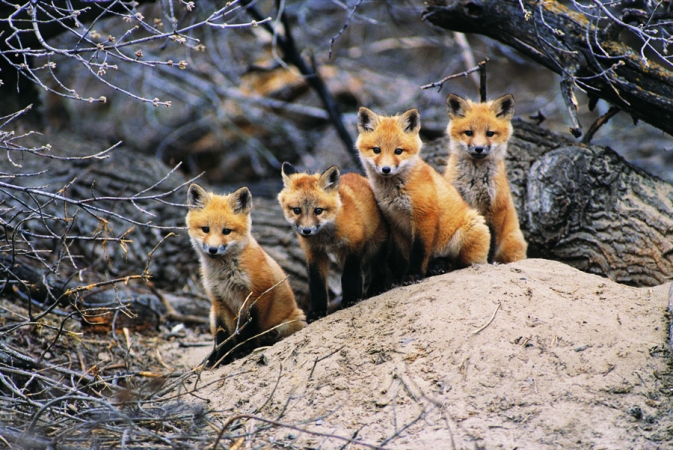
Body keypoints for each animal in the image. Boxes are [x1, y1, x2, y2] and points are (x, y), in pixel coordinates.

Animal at [186, 183, 305, 367]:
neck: (226, 275)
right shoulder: (219, 301)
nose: (213, 249)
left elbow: (251, 328)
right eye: (205, 229)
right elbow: (223, 336)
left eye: (226, 231)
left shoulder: (258, 294)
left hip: (291, 322)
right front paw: (222, 357)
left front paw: (245, 350)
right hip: (211, 315)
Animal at [278, 163, 389, 322]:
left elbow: (349, 275)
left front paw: (350, 299)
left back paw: (376, 288)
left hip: (376, 245)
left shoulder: (354, 244)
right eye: (297, 210)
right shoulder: (314, 252)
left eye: (318, 210)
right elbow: (316, 284)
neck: (326, 238)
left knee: (379, 267)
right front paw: (317, 311)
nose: (306, 231)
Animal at [356, 107, 491, 281]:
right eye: (376, 150)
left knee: (459, 264)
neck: (395, 191)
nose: (386, 169)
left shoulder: (424, 215)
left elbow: (419, 251)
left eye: (398, 151)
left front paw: (413, 274)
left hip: (470, 233)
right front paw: (399, 277)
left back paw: (440, 266)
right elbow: (402, 256)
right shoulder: (395, 222)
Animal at [444, 94, 527, 263]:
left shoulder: (496, 208)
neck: (474, 181)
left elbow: (492, 241)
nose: (479, 148)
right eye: (469, 132)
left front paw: (489, 262)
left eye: (490, 133)